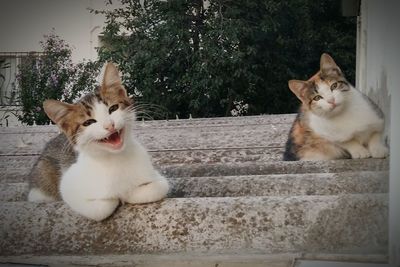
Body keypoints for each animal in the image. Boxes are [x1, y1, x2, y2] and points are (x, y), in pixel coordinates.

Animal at [27, 62, 169, 222]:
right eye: (88, 122)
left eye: (113, 108)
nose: (109, 125)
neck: (115, 159)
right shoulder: (67, 185)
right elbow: (100, 208)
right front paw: (115, 197)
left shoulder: (153, 175)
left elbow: (159, 187)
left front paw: (127, 193)